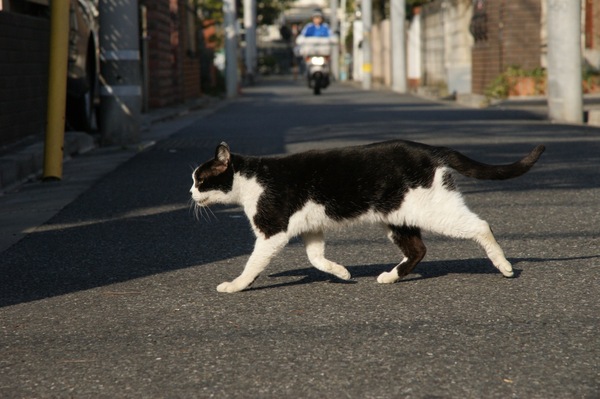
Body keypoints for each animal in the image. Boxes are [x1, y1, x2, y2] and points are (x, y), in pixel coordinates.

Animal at [190, 141, 548, 294]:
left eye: (200, 179)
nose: (190, 192)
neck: (250, 179)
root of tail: (430, 149)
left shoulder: (272, 231)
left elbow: (252, 265)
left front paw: (235, 286)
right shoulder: (311, 228)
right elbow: (316, 257)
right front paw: (341, 273)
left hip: (436, 211)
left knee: (481, 226)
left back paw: (504, 266)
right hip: (399, 219)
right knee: (418, 250)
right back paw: (390, 277)